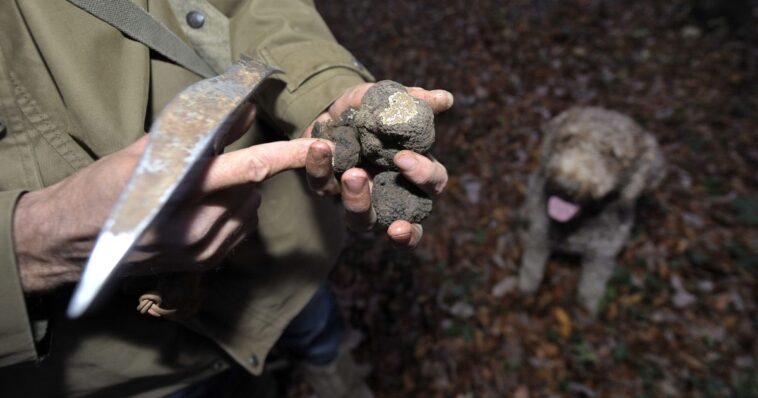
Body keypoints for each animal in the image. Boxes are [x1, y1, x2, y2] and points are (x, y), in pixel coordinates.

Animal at [524, 107, 664, 316]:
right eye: (568, 138)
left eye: (612, 155)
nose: (566, 186)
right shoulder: (538, 237)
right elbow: (531, 266)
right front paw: (526, 287)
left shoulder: (602, 256)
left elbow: (592, 284)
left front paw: (587, 307)